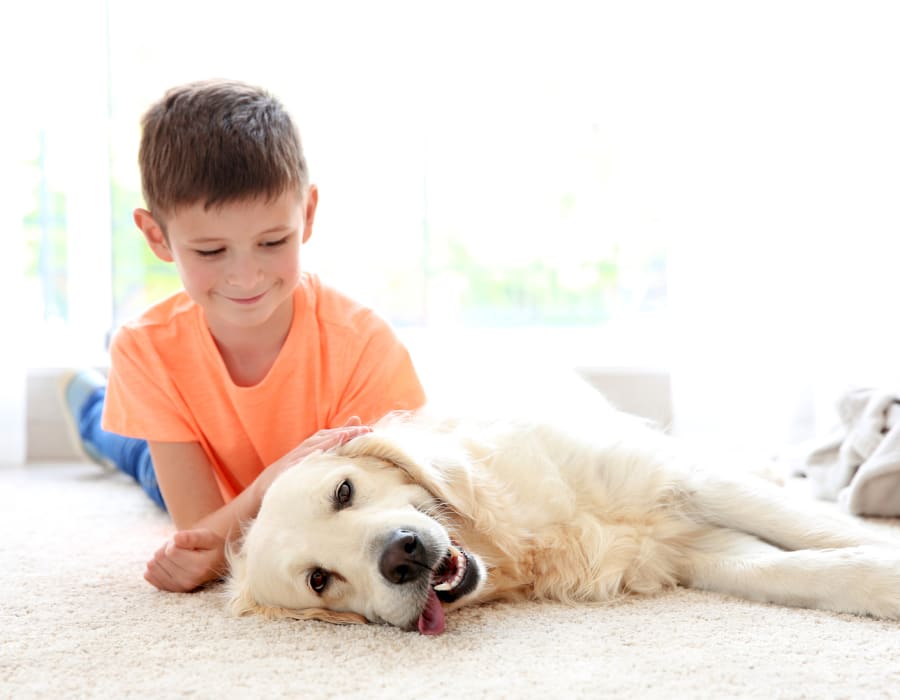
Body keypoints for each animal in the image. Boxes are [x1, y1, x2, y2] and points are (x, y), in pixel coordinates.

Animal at [225, 404, 900, 636]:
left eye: (343, 491)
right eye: (319, 580)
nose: (403, 554)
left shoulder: (685, 482)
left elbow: (825, 533)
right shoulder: (698, 550)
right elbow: (805, 568)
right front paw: (880, 582)